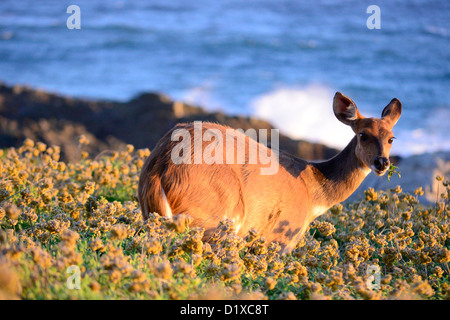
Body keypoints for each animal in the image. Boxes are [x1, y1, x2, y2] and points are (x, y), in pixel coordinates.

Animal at [139, 92, 402, 252]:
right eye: (363, 135)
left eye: (391, 138)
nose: (382, 163)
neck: (312, 190)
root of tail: (161, 168)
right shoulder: (282, 237)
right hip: (219, 214)